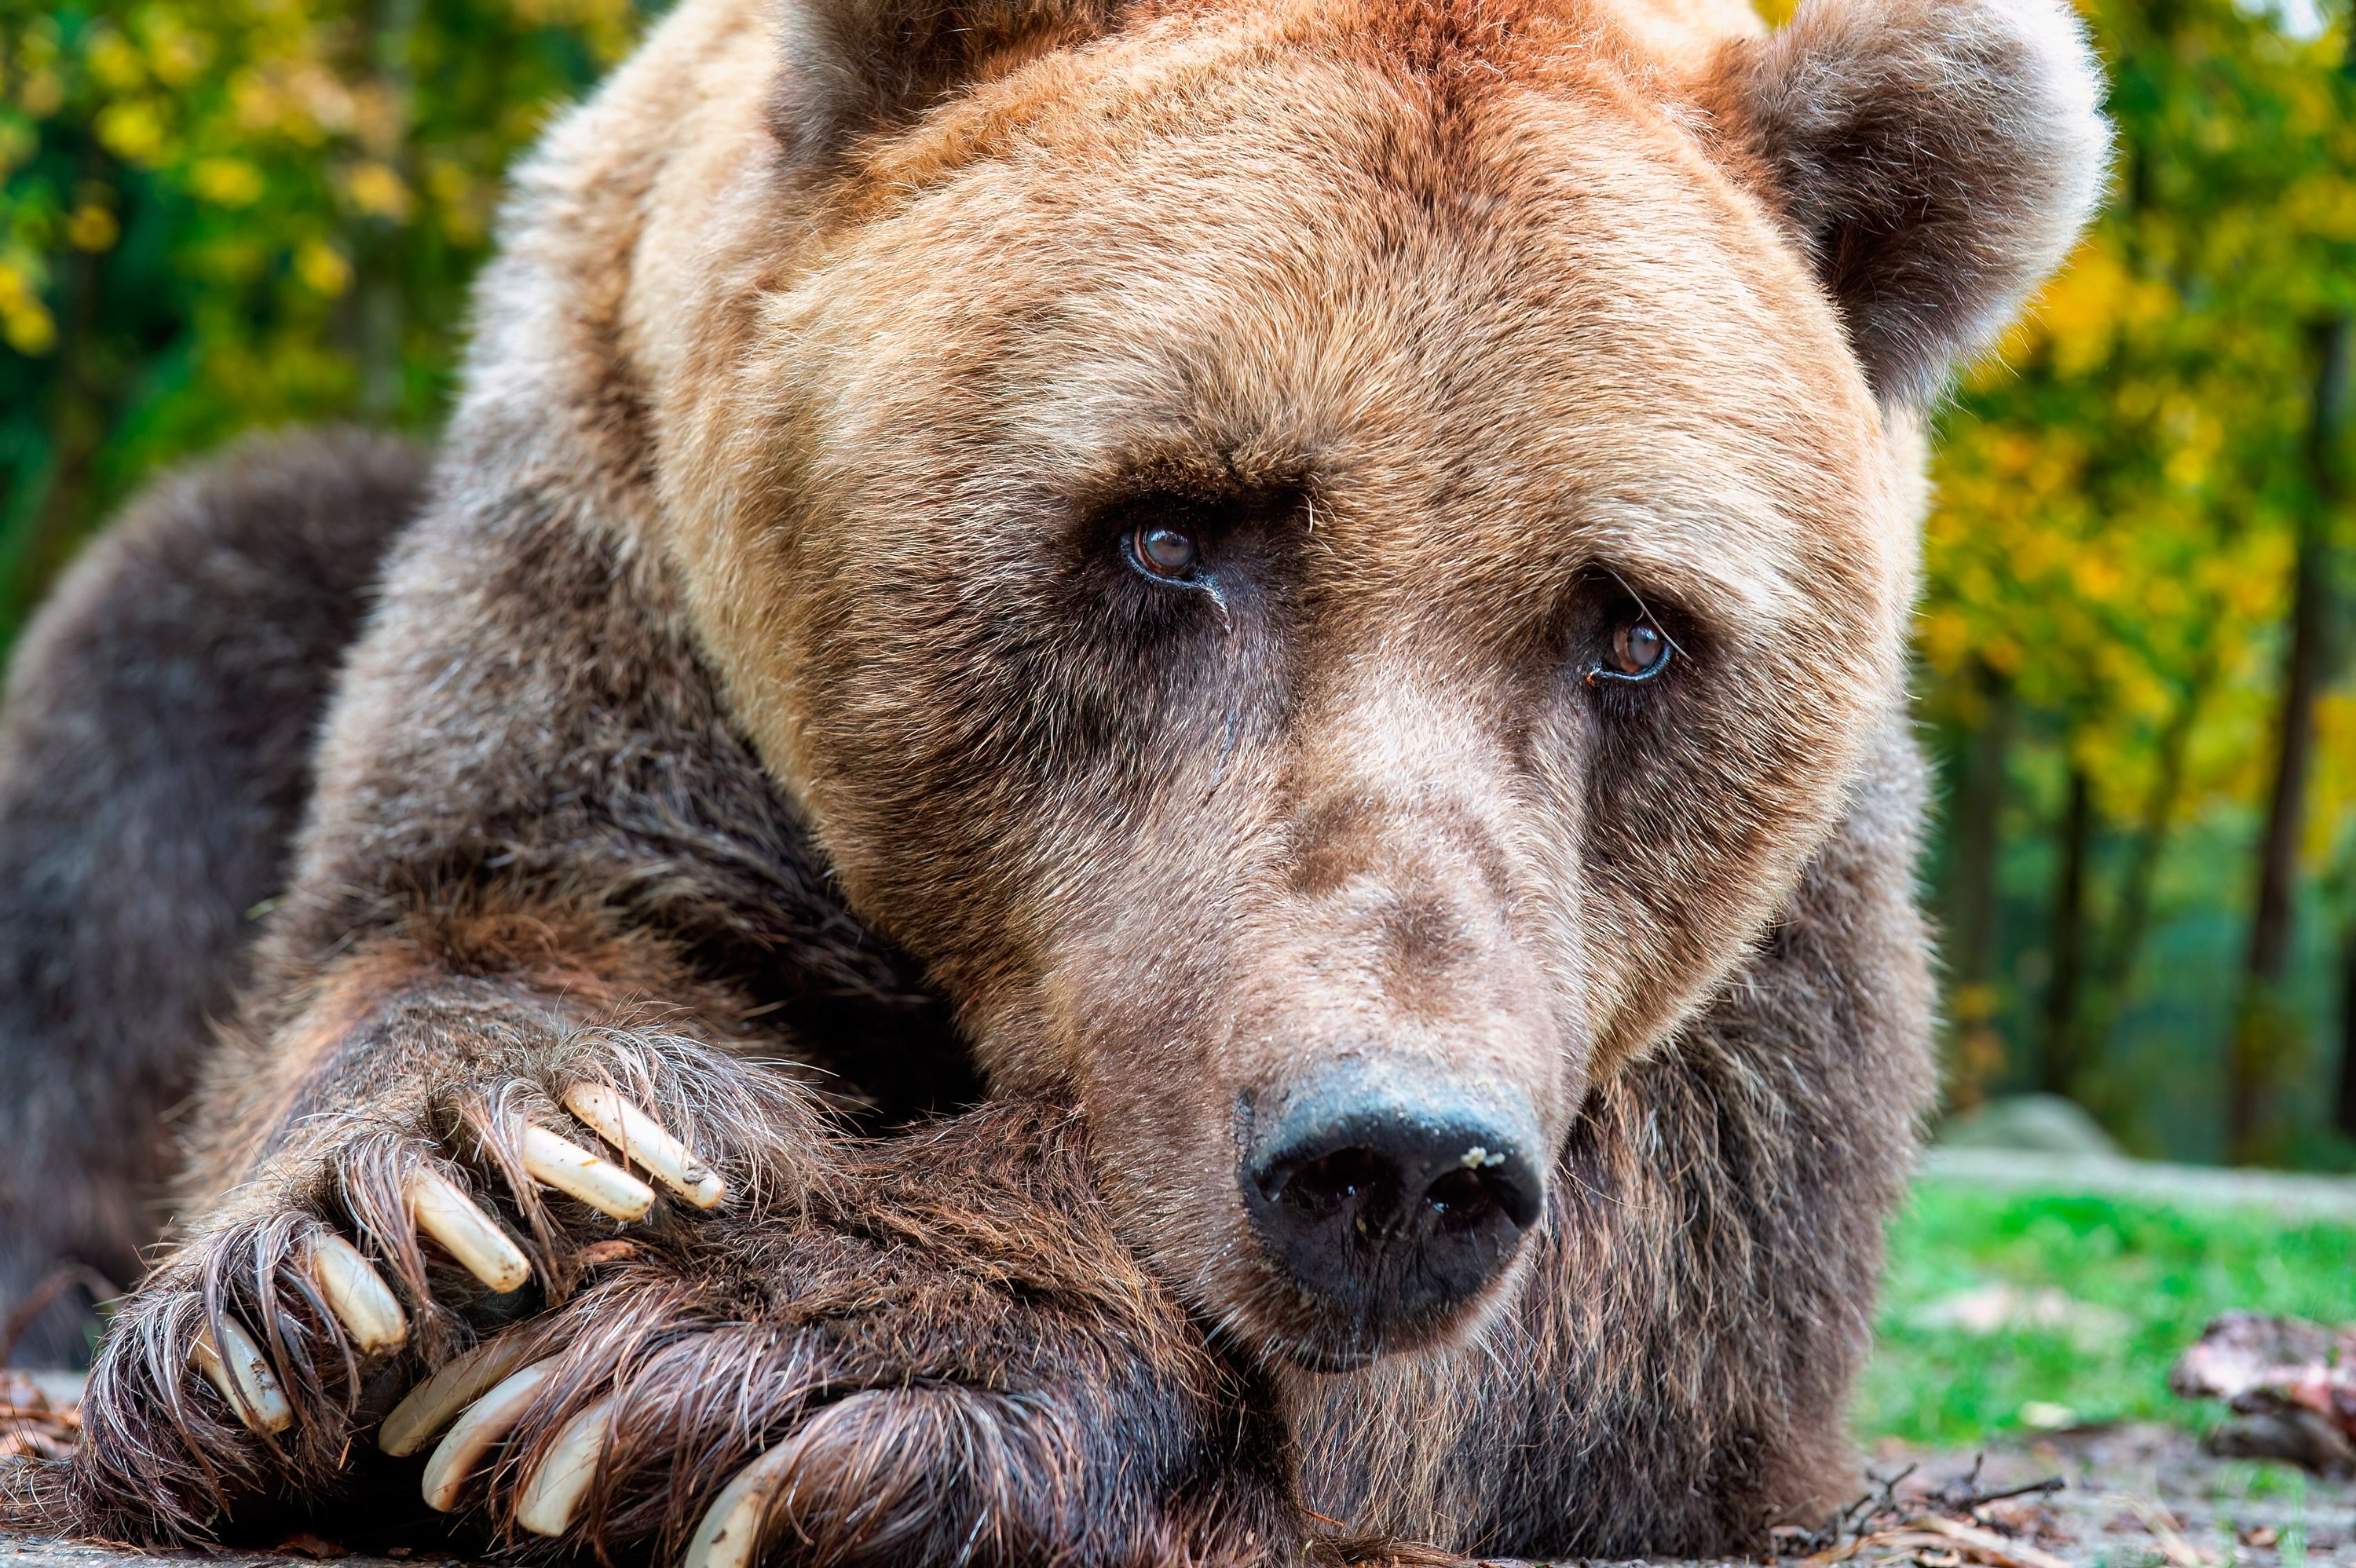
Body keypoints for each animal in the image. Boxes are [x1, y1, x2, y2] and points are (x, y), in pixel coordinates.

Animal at [0, 0, 2108, 1557]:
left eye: (1635, 627)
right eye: (1168, 529)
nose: (1390, 1159)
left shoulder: (1745, 922)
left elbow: (1676, 1249)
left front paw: (754, 1361)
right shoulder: (615, 562)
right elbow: (479, 906)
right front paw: (439, 1218)